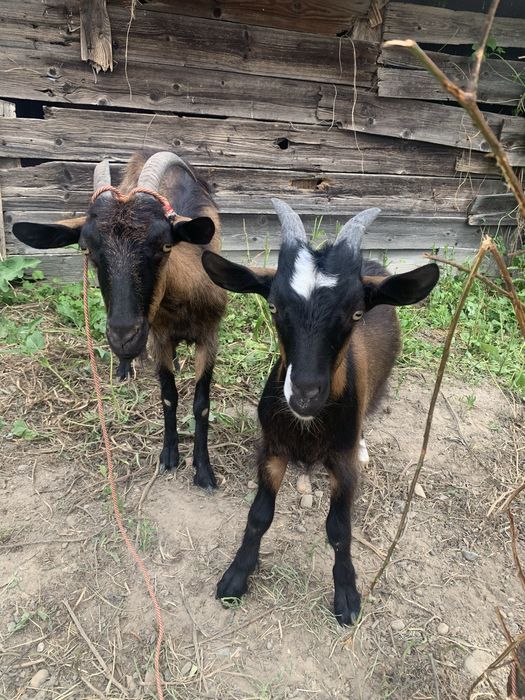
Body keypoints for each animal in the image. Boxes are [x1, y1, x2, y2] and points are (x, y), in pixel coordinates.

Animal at [12, 151, 227, 490]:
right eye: (86, 248)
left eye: (165, 244)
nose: (124, 337)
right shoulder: (158, 338)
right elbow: (168, 396)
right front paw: (169, 457)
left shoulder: (210, 336)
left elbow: (201, 403)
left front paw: (203, 471)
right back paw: (126, 369)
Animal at [201, 199, 439, 624]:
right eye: (274, 306)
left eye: (356, 313)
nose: (305, 394)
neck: (307, 425)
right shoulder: (272, 449)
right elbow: (259, 515)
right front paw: (236, 576)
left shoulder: (342, 464)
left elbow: (340, 529)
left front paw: (346, 595)